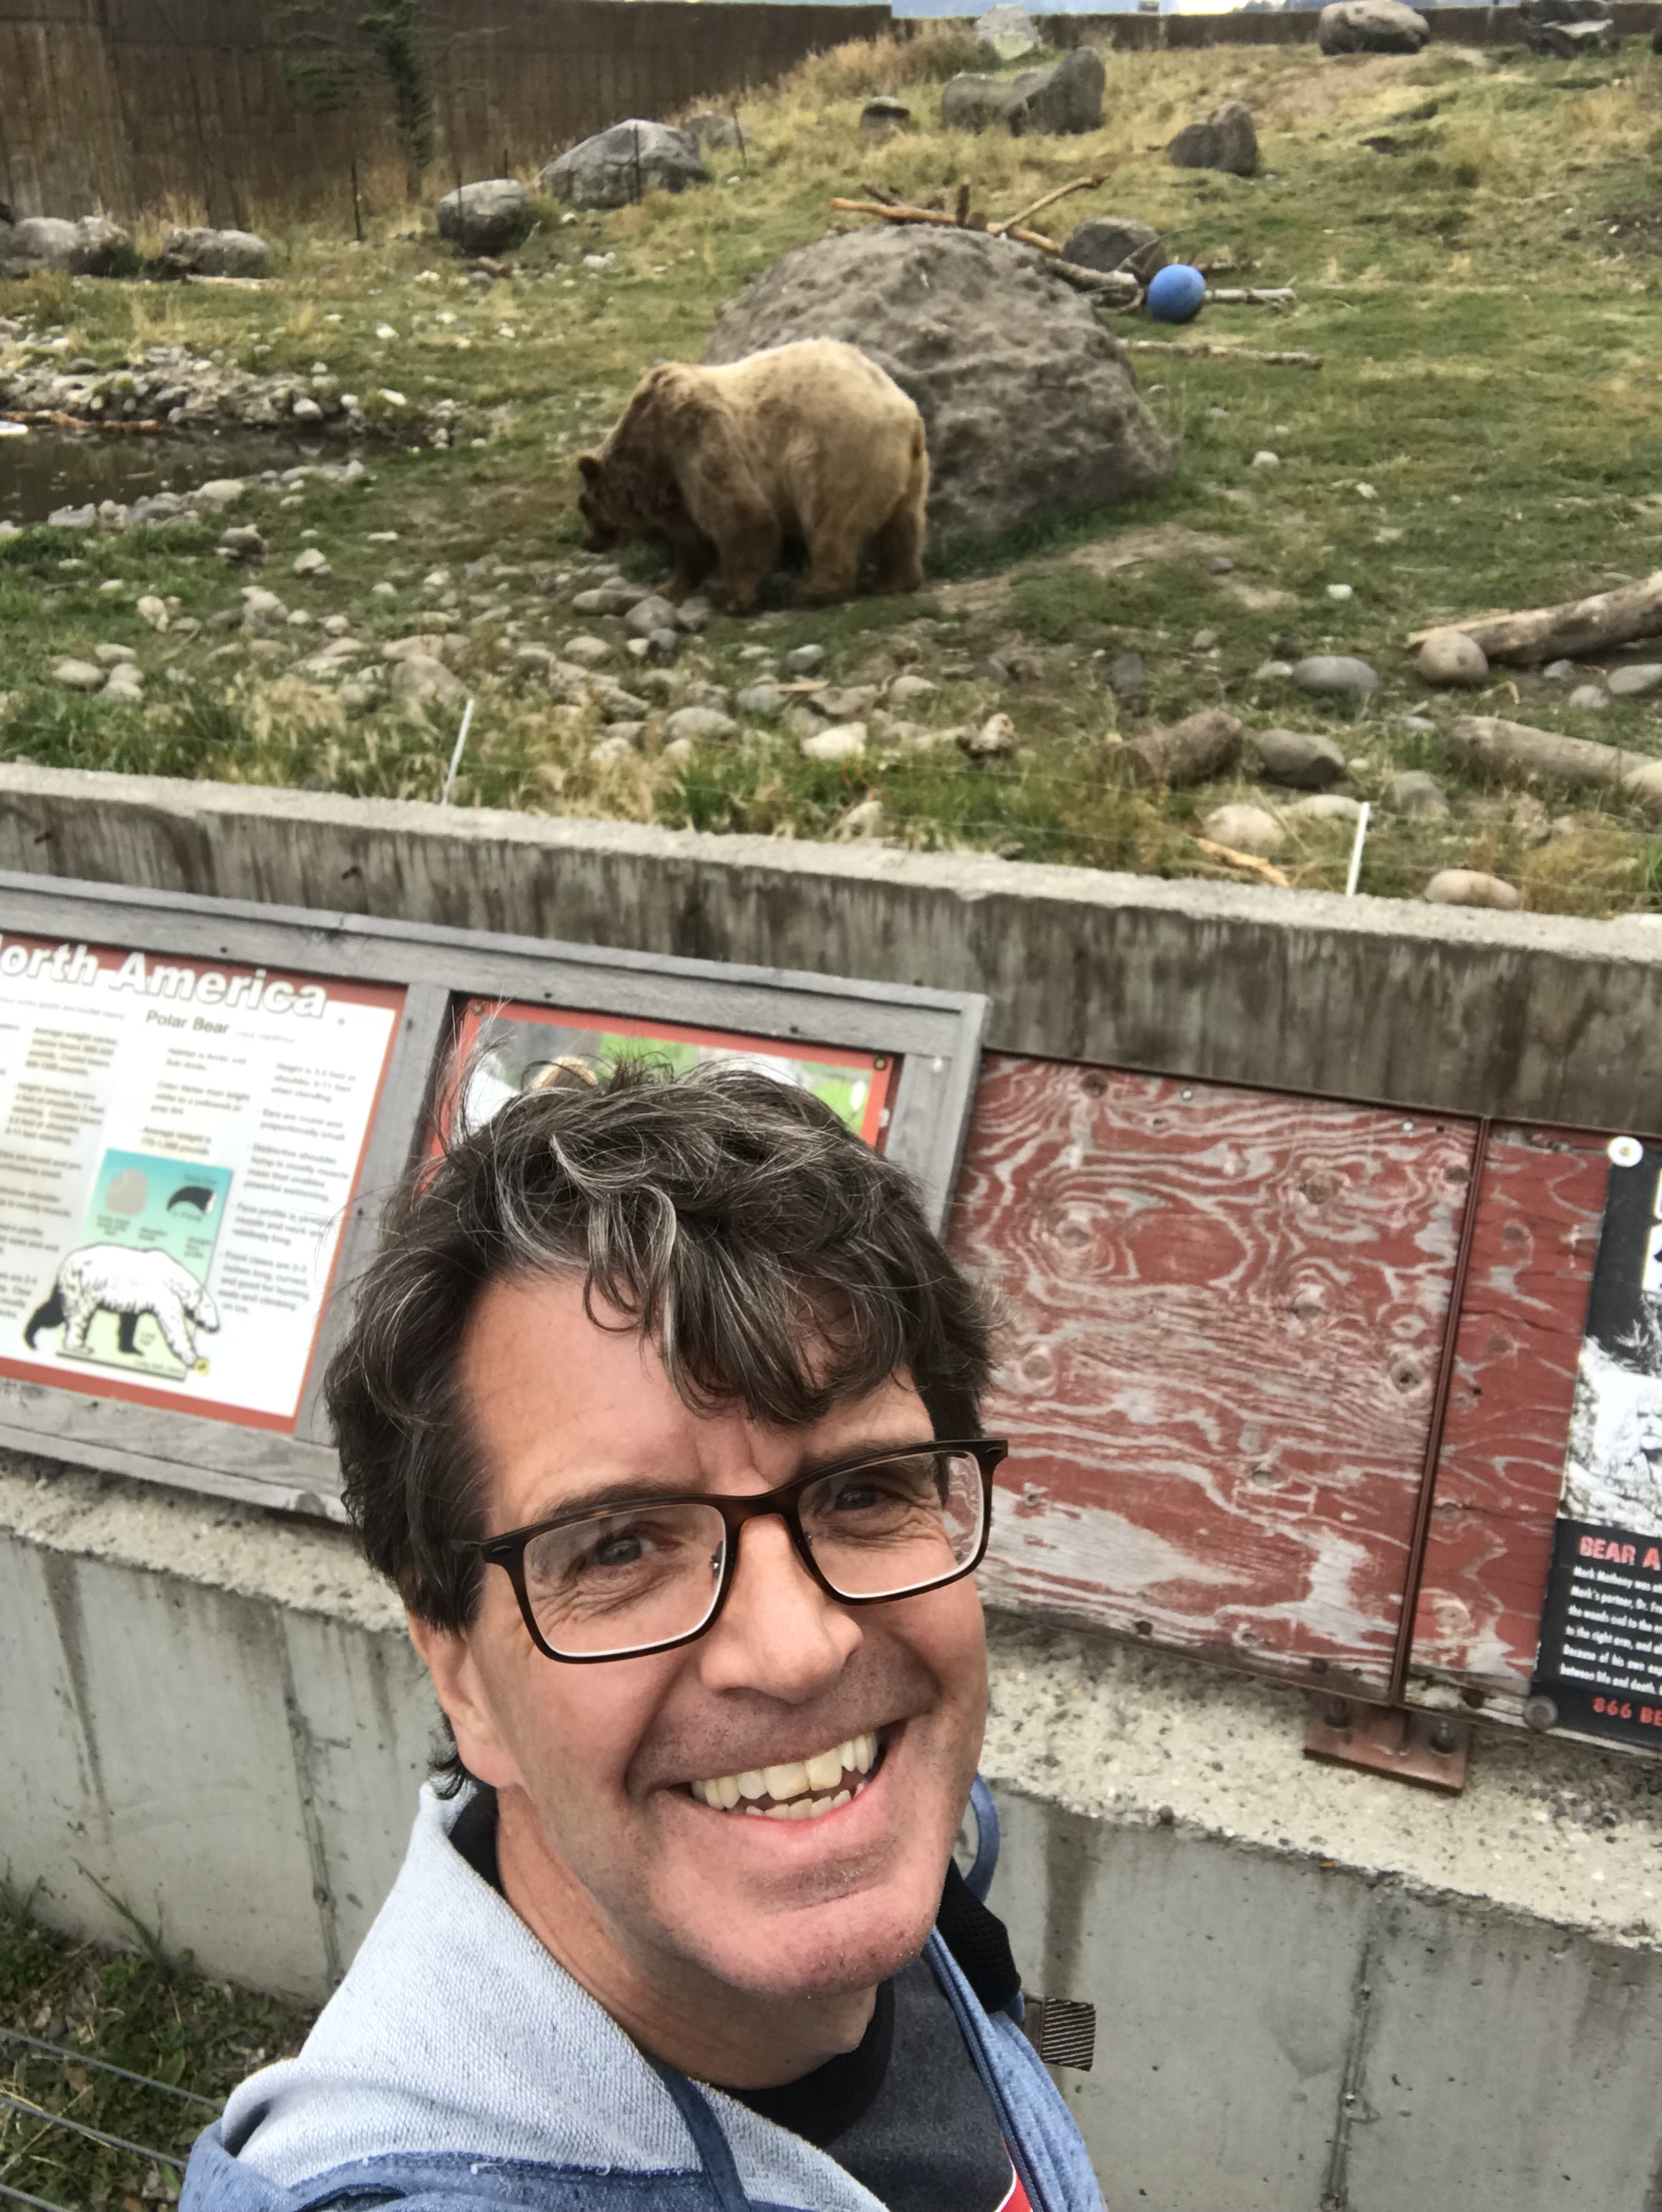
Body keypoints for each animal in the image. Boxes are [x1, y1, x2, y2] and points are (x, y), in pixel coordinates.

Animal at [576, 339, 928, 613]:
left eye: (585, 506)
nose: (589, 543)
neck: (651, 456)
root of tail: (907, 414)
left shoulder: (698, 438)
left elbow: (742, 518)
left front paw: (732, 599)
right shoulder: (677, 485)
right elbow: (690, 540)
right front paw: (671, 585)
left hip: (837, 451)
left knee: (831, 521)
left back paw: (812, 589)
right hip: (909, 472)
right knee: (902, 525)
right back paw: (893, 580)